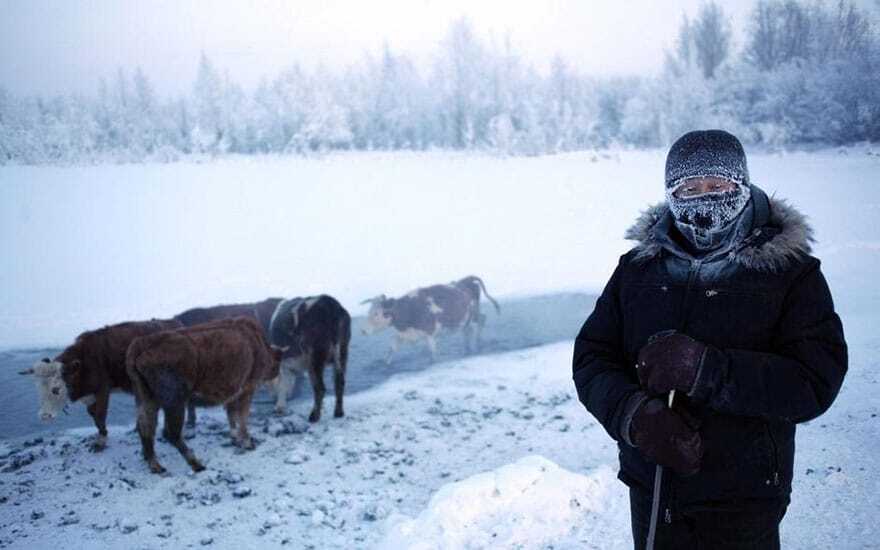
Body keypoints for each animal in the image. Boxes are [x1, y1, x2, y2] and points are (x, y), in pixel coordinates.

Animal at [16, 320, 182, 452]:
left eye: (56, 389)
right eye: (38, 389)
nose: (44, 416)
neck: (84, 363)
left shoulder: (102, 390)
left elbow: (100, 416)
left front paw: (101, 441)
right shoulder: (90, 396)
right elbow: (93, 415)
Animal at [124, 316, 280, 476]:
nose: (275, 372)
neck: (257, 341)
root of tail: (140, 344)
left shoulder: (233, 395)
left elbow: (232, 416)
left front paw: (235, 438)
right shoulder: (247, 389)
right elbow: (242, 418)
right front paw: (248, 443)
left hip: (146, 399)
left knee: (145, 427)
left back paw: (155, 465)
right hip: (175, 403)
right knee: (170, 433)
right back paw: (196, 464)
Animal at [360, 276, 502, 366]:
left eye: (377, 313)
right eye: (369, 311)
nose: (363, 331)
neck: (409, 309)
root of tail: (466, 279)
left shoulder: (429, 334)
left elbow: (432, 353)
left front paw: (433, 363)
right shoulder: (402, 334)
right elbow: (392, 349)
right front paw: (386, 363)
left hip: (474, 313)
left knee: (482, 320)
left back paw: (478, 342)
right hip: (466, 318)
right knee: (469, 329)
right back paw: (467, 348)